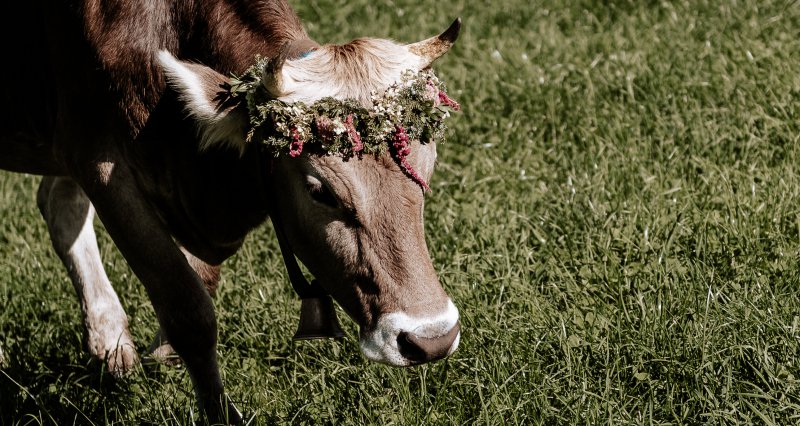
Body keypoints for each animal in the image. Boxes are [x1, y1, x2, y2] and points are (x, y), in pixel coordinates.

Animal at [1, 0, 462, 422]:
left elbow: (202, 280)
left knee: (58, 203)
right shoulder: (99, 165)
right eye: (320, 191)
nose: (432, 338)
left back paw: (110, 342)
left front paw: (159, 354)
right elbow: (189, 311)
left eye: (427, 168)